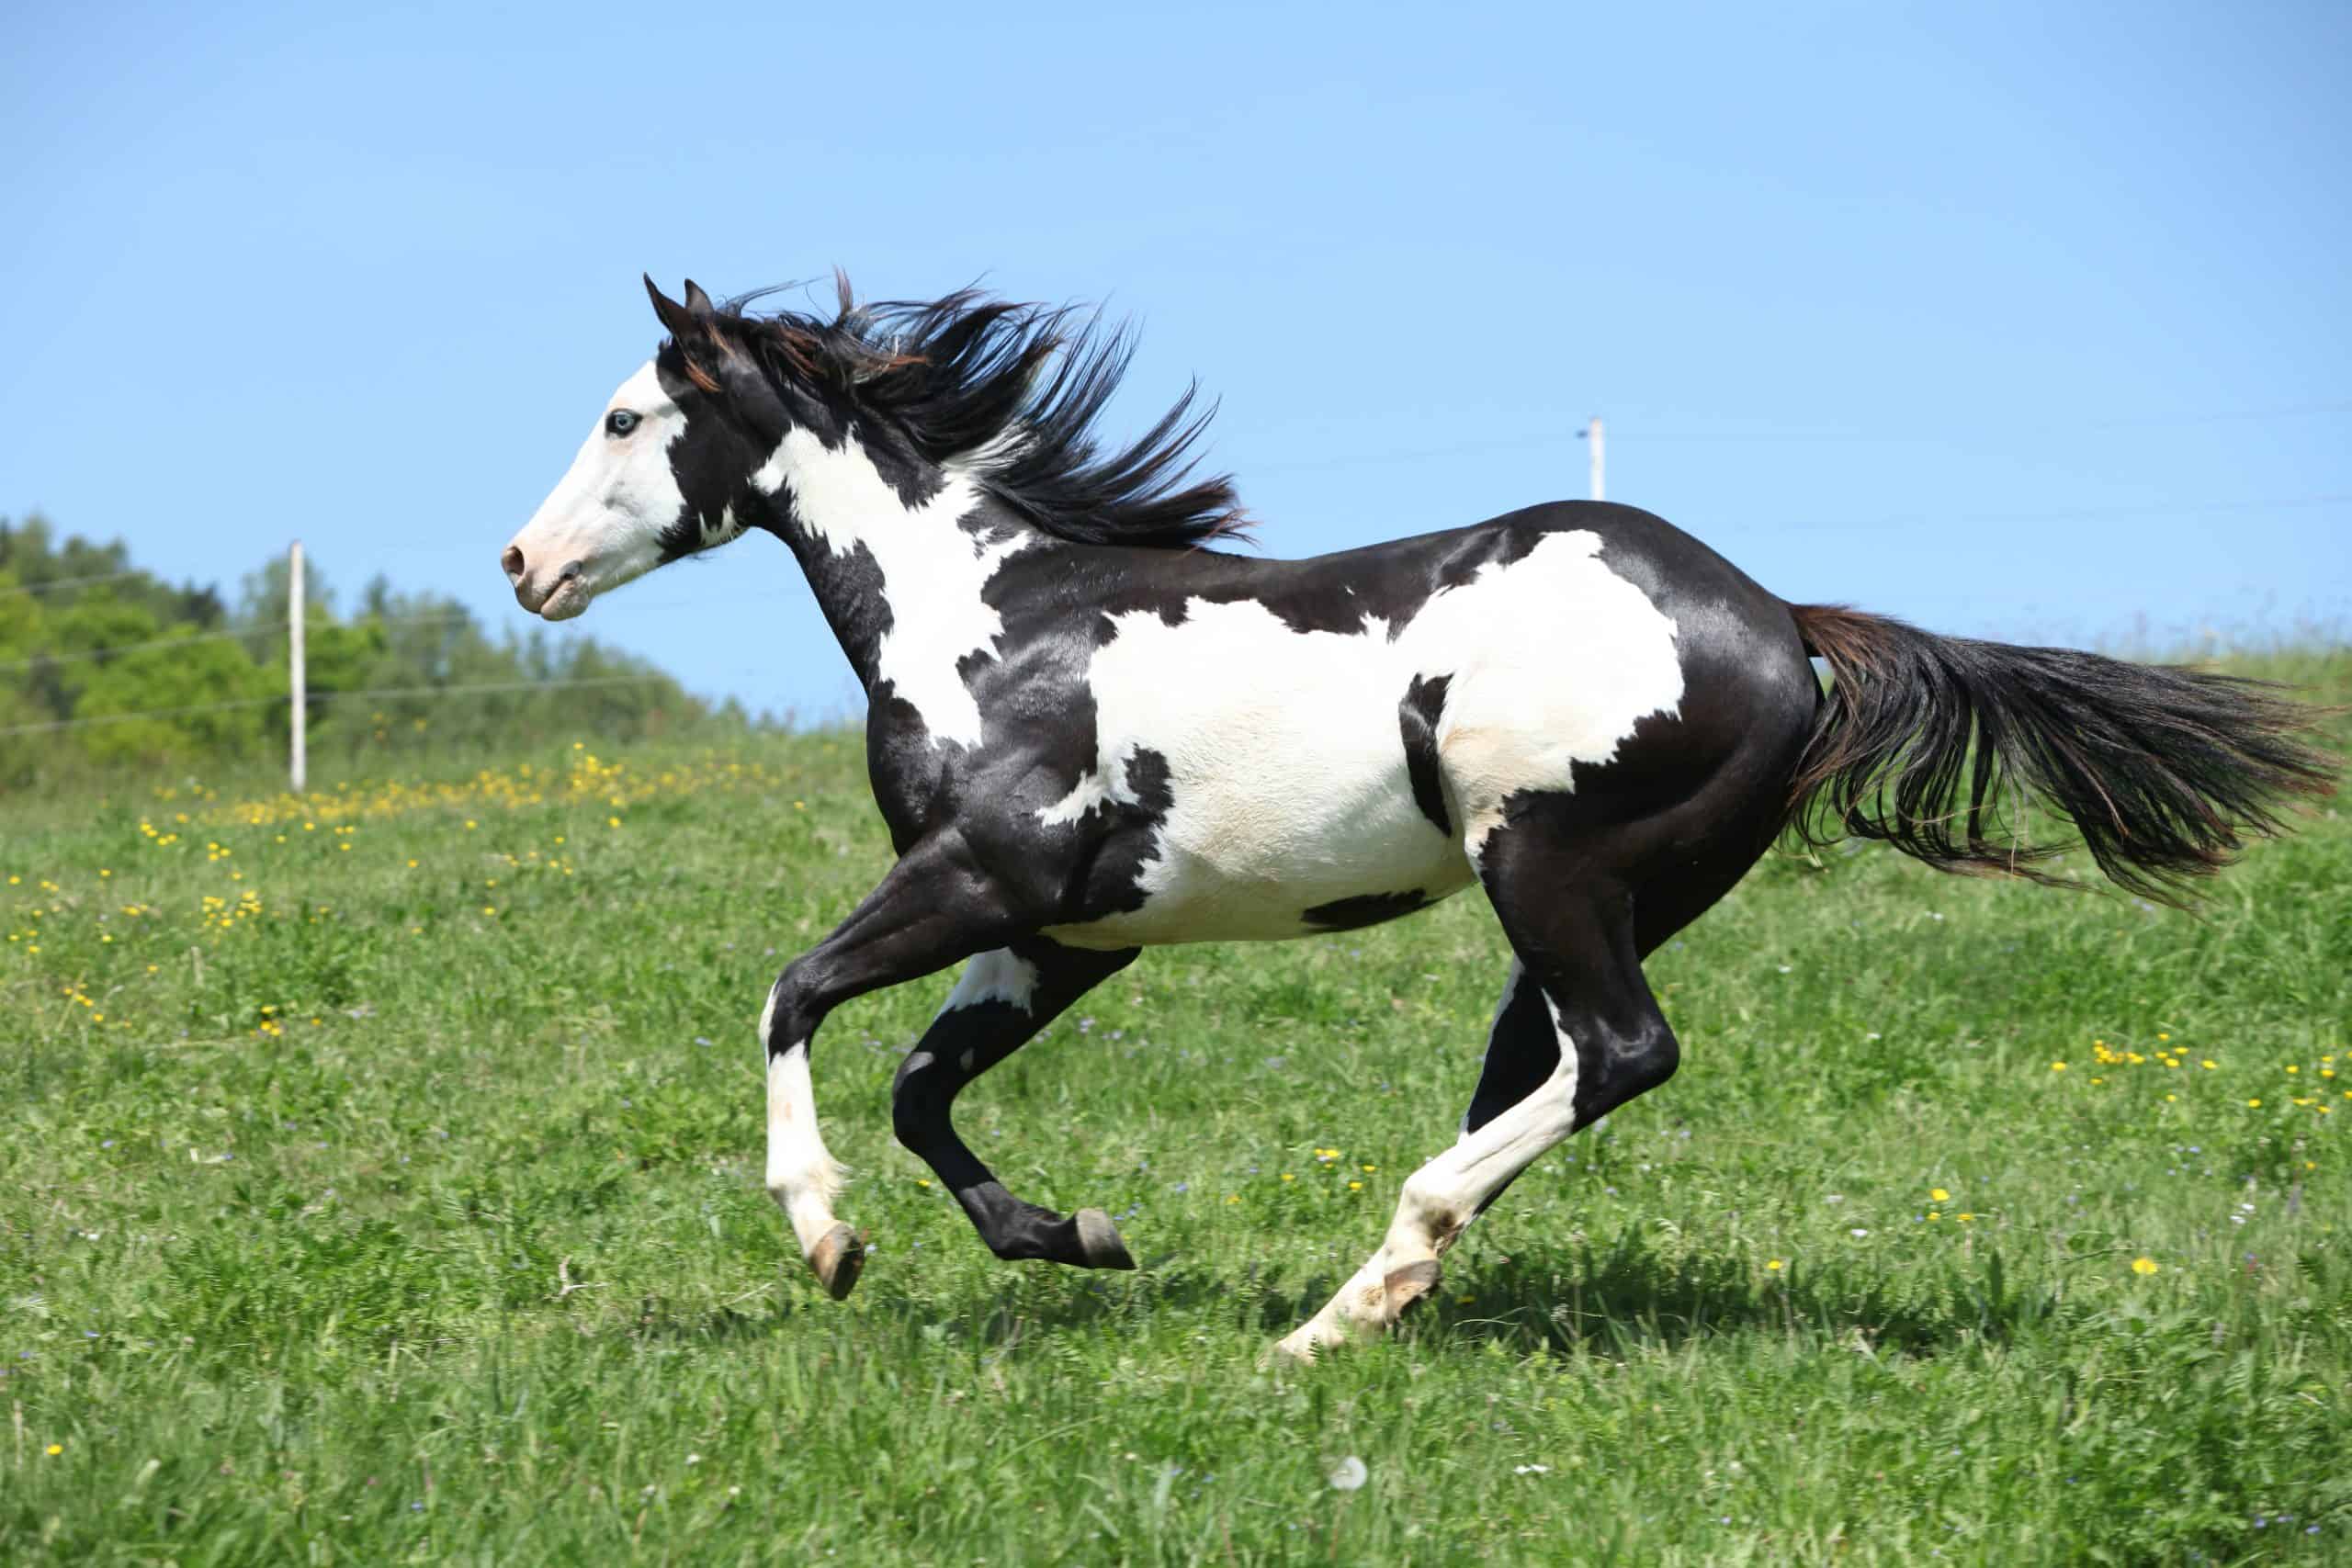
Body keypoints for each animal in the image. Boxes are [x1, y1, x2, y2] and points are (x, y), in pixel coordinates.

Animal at [501, 278, 2333, 1363]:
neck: (995, 624)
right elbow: (919, 1085)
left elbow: (794, 999)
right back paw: (1380, 1292)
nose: (523, 565)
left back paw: (1349, 1301)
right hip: (1600, 897)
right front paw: (1073, 1236)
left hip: (1549, 865)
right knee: (1556, 1074)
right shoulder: (1070, 930)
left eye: (624, 416)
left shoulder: (983, 876)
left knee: (1622, 1054)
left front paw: (827, 1240)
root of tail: (1780, 620)